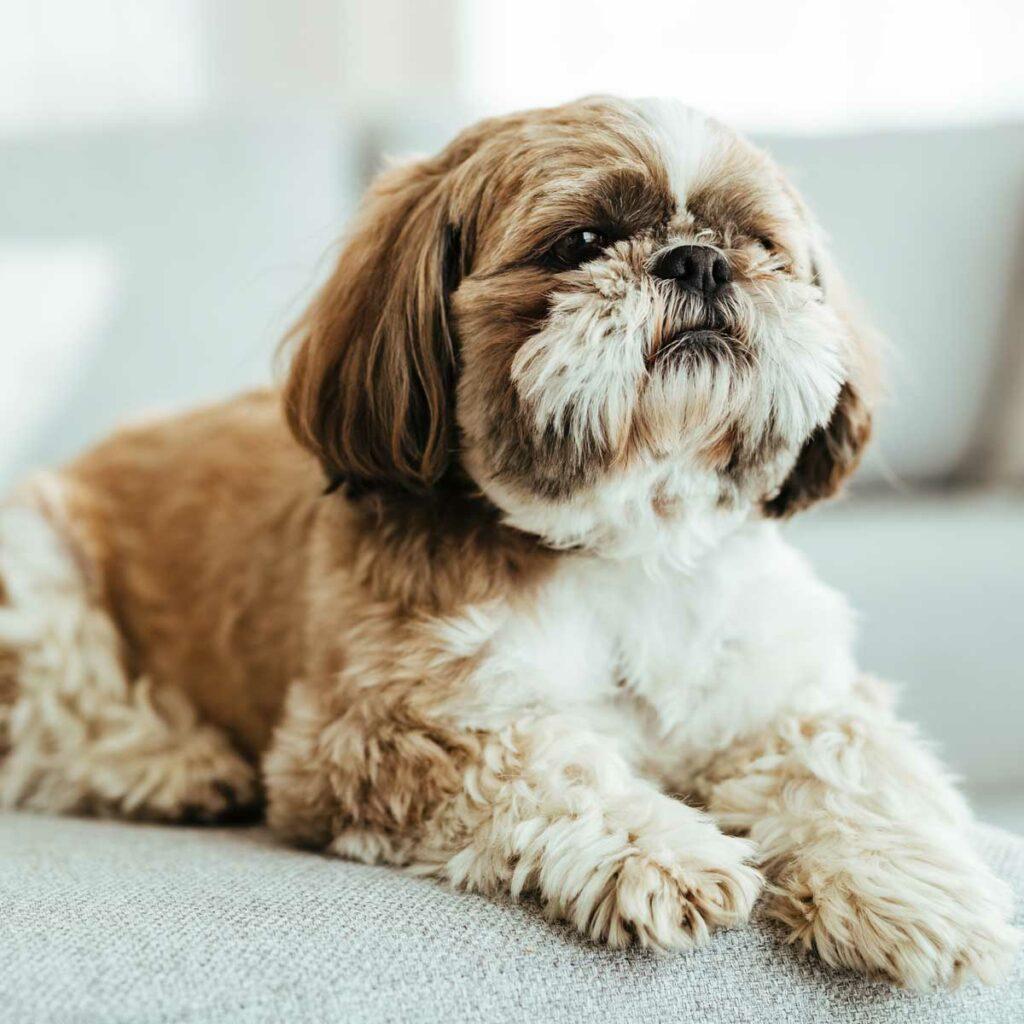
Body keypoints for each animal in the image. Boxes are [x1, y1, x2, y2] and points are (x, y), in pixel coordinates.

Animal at [0, 97, 1015, 991]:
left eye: (758, 243)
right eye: (582, 244)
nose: (698, 261)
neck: (630, 543)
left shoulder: (791, 692)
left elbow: (850, 765)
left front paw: (913, 887)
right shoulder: (372, 738)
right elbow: (546, 759)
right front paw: (661, 847)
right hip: (35, 571)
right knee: (49, 732)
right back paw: (173, 764)